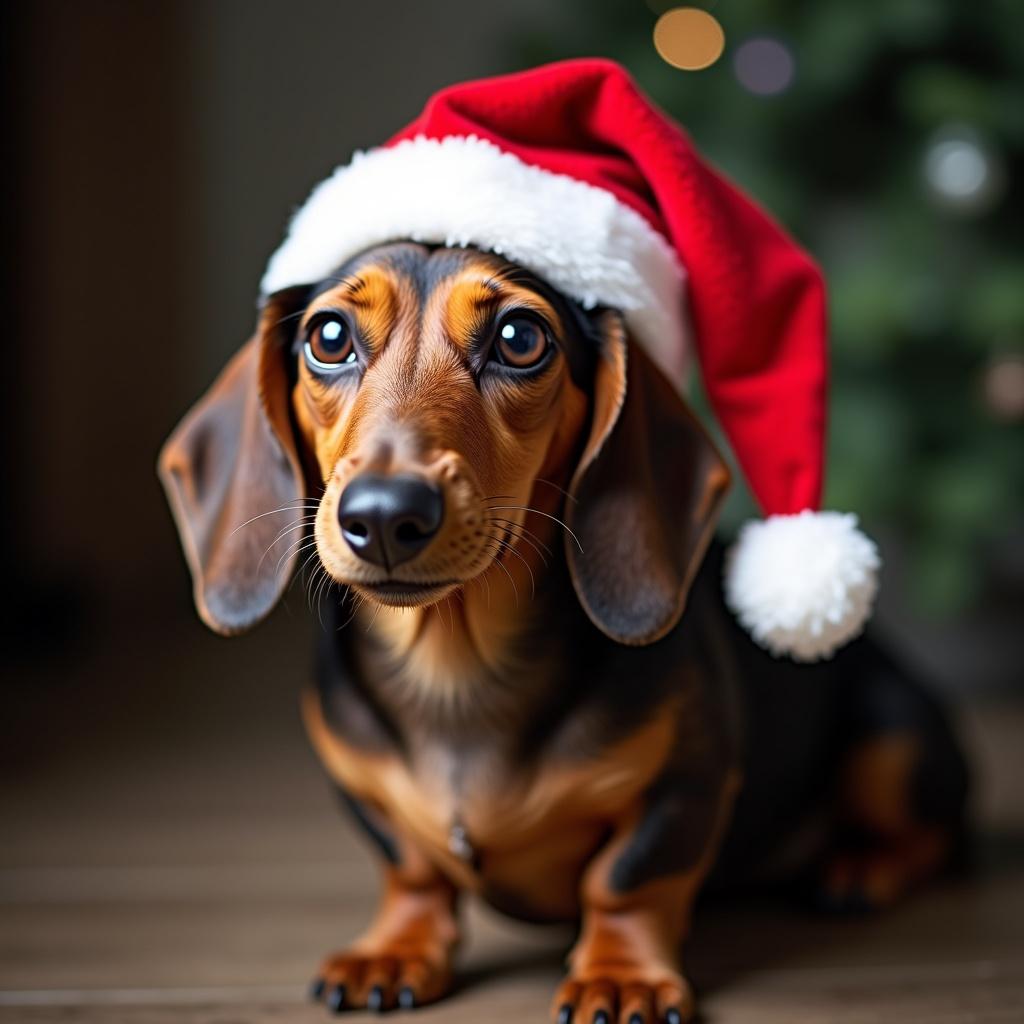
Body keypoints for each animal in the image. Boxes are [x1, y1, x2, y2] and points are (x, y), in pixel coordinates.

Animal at [159, 241, 966, 1024]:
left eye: (520, 339)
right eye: (327, 337)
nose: (385, 514)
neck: (454, 669)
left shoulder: (689, 778)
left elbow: (626, 880)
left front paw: (621, 976)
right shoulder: (356, 782)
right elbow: (411, 868)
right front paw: (393, 949)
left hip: (893, 733)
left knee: (938, 833)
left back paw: (860, 866)